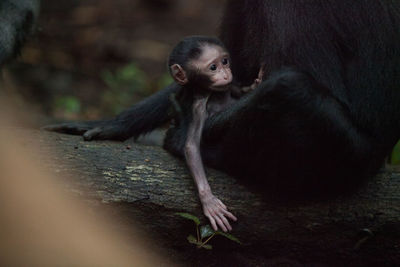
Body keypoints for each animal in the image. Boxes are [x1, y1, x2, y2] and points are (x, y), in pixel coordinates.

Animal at [167, 35, 264, 232]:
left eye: (225, 61)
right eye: (213, 67)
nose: (226, 73)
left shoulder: (229, 87)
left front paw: (256, 84)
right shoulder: (198, 108)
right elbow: (191, 147)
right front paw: (208, 200)